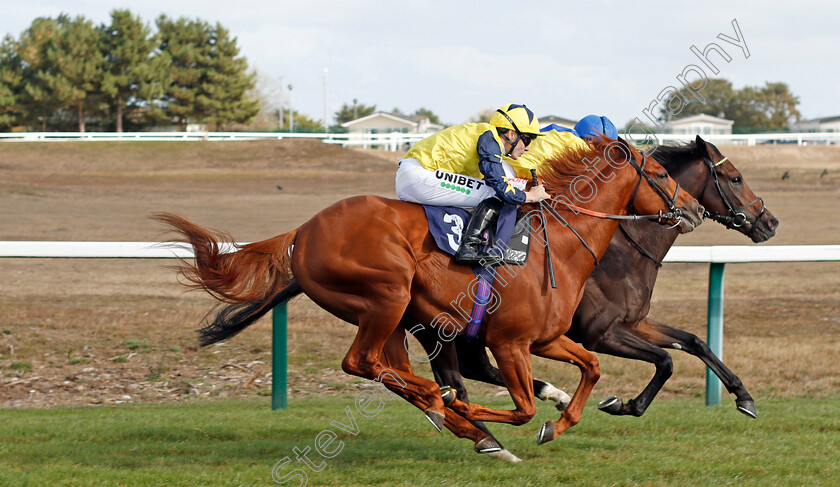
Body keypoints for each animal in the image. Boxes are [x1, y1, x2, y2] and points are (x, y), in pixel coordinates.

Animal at [154, 136, 704, 454]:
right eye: (661, 174)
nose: (695, 210)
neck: (562, 244)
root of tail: (303, 232)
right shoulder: (511, 343)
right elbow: (523, 407)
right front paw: (486, 412)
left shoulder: (548, 339)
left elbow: (589, 369)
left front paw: (561, 419)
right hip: (388, 293)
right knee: (363, 363)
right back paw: (449, 409)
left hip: (397, 317)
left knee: (387, 367)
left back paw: (460, 421)